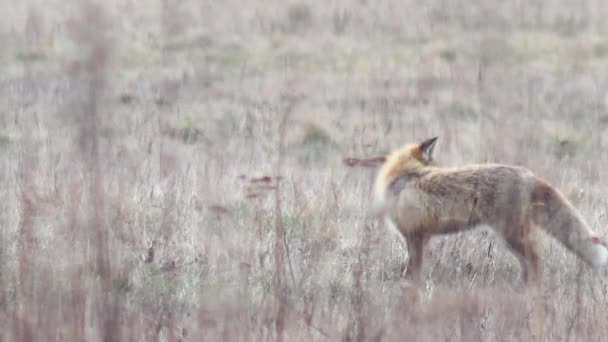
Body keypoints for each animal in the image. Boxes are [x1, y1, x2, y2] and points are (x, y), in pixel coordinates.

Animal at [370, 138, 608, 284]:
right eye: (436, 166)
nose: (443, 171)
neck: (402, 176)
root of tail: (528, 174)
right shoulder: (421, 236)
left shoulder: (415, 236)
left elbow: (414, 269)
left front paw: (410, 288)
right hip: (512, 237)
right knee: (528, 263)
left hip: (511, 235)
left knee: (535, 259)